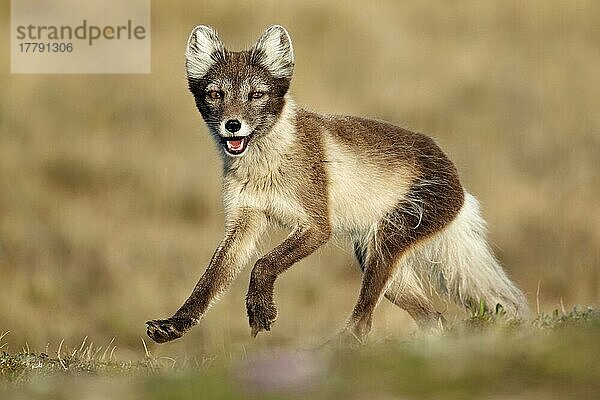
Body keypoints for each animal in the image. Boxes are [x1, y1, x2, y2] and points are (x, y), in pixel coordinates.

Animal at [145, 25, 524, 344]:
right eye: (215, 94)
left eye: (256, 95)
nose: (233, 125)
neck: (265, 166)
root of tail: (457, 177)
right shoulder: (244, 221)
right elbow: (209, 282)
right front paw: (175, 324)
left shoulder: (317, 226)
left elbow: (263, 264)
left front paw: (260, 310)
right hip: (377, 260)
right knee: (434, 319)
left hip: (387, 243)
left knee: (366, 319)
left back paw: (335, 348)